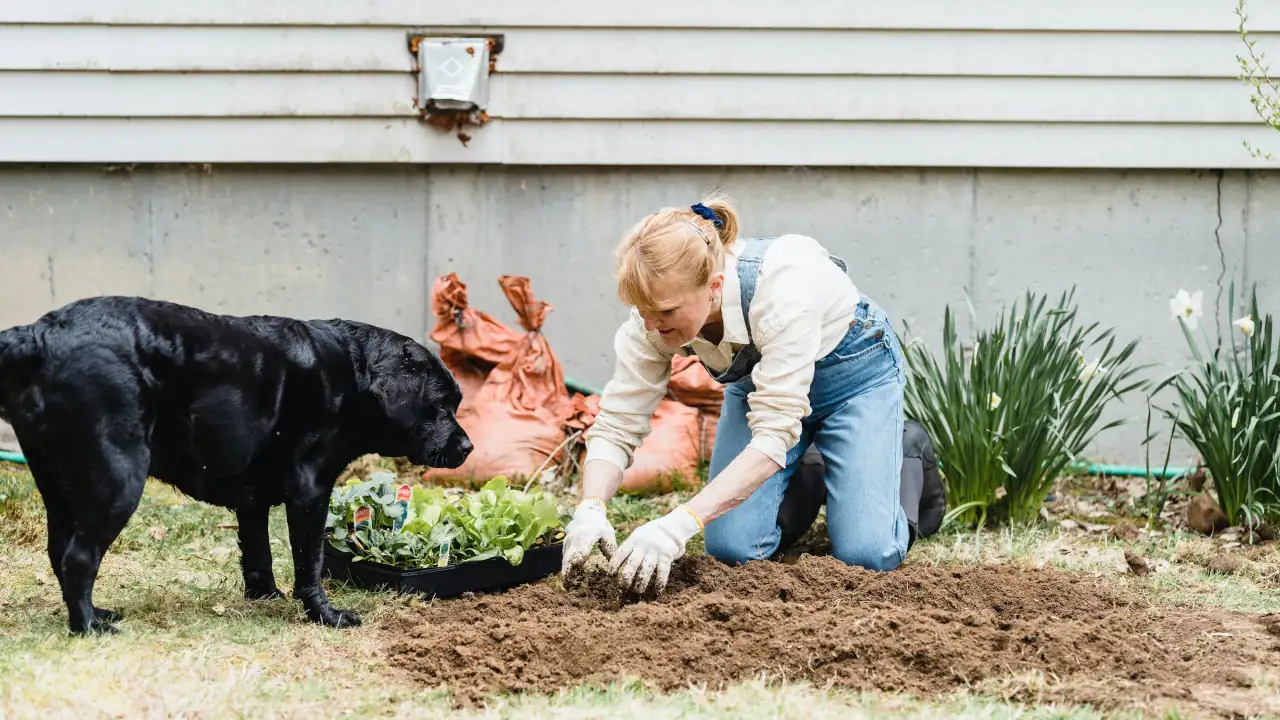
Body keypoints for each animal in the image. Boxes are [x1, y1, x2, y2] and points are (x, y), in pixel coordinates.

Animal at [0, 294, 473, 630]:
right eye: (441, 406)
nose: (468, 447)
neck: (353, 374)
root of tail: (38, 334)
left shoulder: (254, 500)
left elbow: (258, 551)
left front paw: (265, 596)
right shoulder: (311, 490)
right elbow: (310, 560)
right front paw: (325, 616)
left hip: (60, 484)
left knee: (60, 552)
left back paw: (96, 613)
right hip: (119, 481)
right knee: (80, 558)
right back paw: (89, 628)